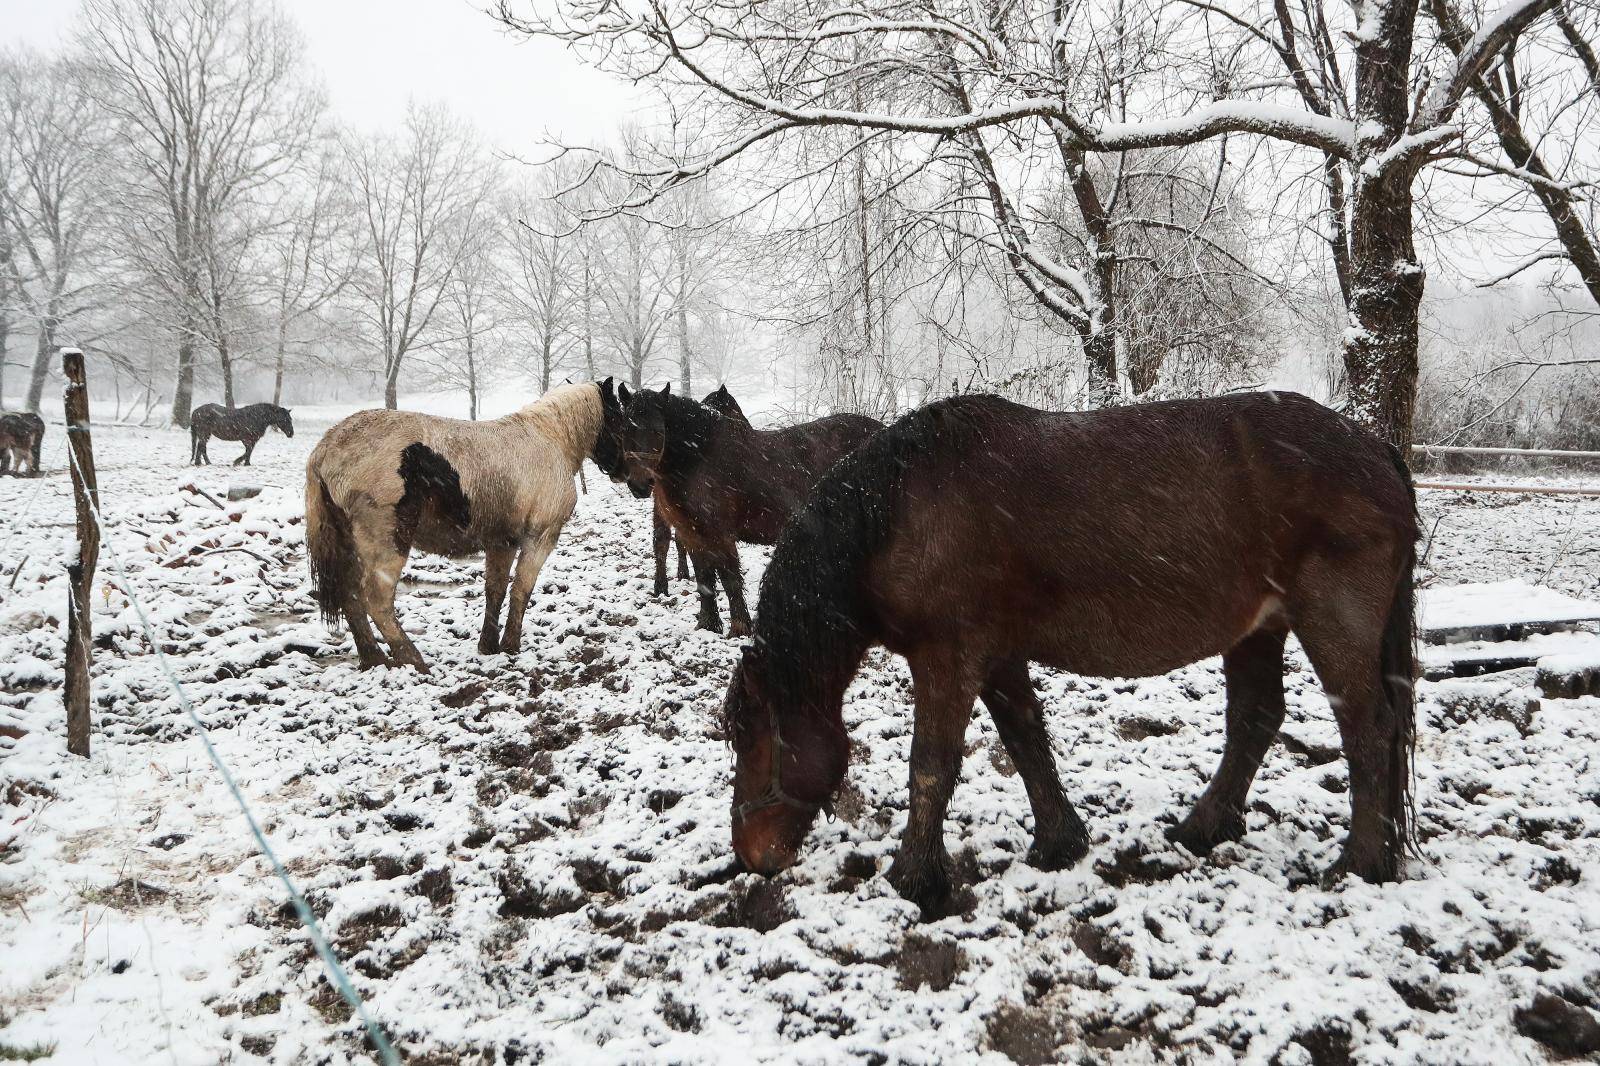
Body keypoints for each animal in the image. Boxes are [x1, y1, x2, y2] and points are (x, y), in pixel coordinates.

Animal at [720, 390, 1420, 915]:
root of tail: (1377, 449)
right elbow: (1027, 740)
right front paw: (1060, 842)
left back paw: (1358, 864)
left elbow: (932, 766)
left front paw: (914, 880)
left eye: (745, 732)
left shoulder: (948, 658)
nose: (751, 856)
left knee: (1367, 729)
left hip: (1330, 622)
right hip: (1257, 630)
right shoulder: (996, 657)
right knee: (1256, 718)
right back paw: (1201, 830)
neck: (897, 510)